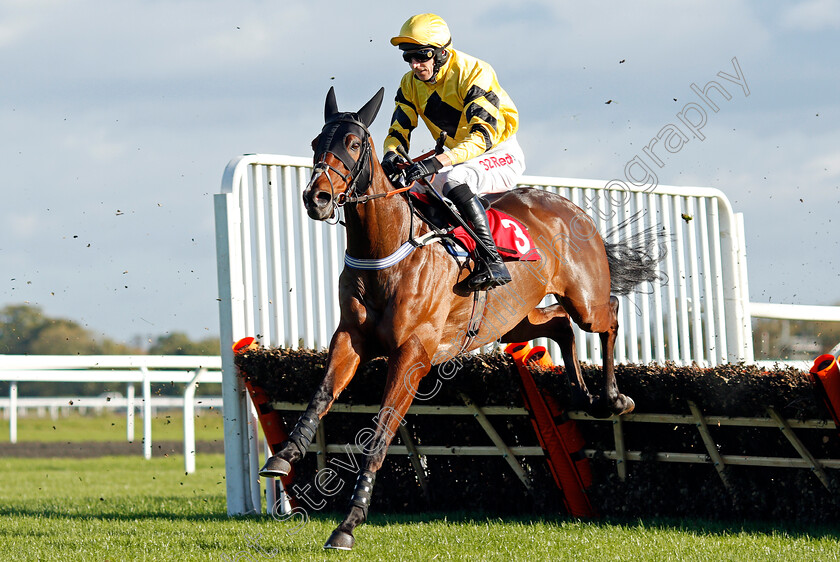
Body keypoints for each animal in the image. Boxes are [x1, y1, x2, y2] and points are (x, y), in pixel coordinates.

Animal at [260, 87, 664, 548]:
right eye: (315, 143)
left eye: (354, 143)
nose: (317, 198)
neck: (387, 250)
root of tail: (569, 207)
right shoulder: (350, 338)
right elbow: (321, 396)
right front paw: (283, 456)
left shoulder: (413, 354)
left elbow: (380, 434)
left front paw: (348, 523)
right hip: (513, 318)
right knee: (561, 324)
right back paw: (583, 395)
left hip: (584, 299)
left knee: (607, 315)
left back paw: (613, 397)